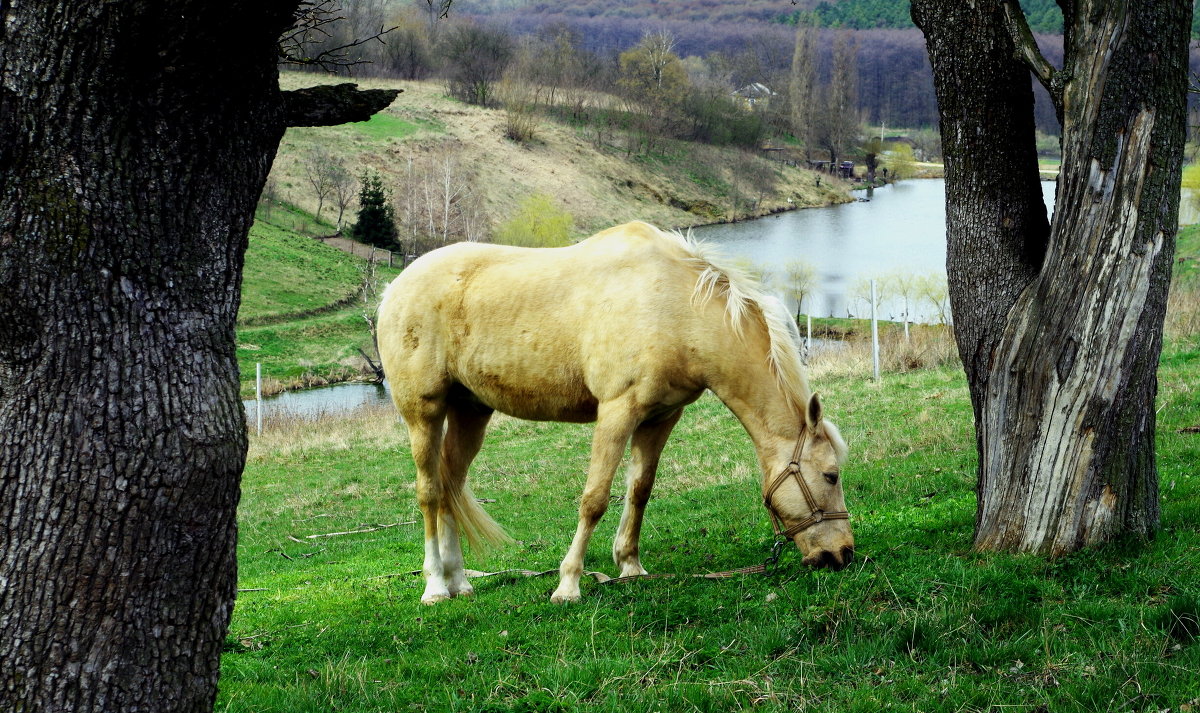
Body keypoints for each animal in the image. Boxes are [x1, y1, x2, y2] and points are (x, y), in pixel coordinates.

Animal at [376, 220, 854, 600]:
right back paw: (435, 586)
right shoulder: (617, 412)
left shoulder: (660, 418)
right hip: (423, 412)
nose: (842, 553)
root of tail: (394, 288)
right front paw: (568, 584)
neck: (674, 308)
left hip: (471, 412)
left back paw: (459, 580)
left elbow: (639, 490)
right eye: (830, 475)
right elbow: (595, 499)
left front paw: (629, 566)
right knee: (430, 492)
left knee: (451, 488)